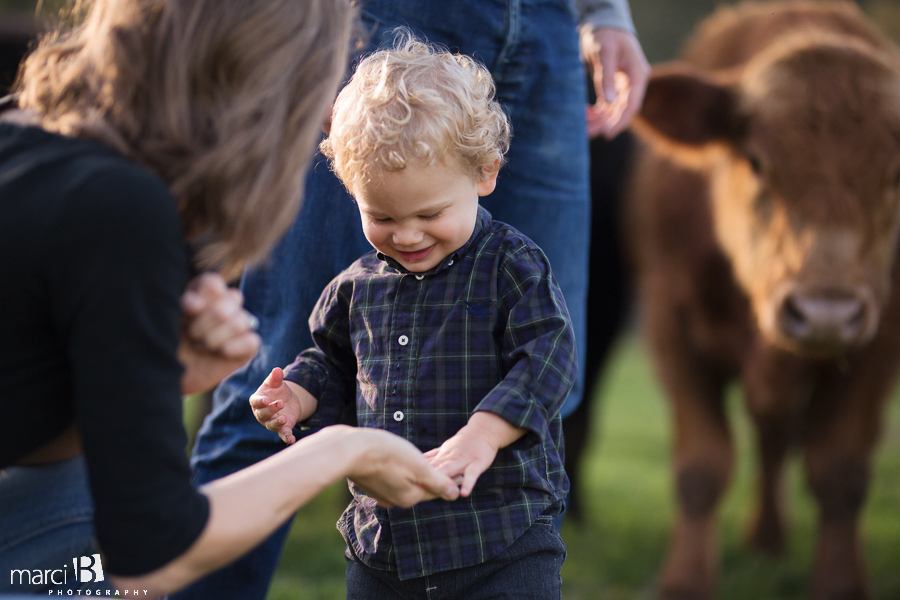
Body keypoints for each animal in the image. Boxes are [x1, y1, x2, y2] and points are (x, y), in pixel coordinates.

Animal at [628, 1, 900, 600]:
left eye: (897, 172)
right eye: (755, 161)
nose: (825, 314)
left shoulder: (880, 338)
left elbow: (840, 470)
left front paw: (839, 583)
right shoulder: (668, 320)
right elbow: (702, 466)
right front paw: (685, 580)